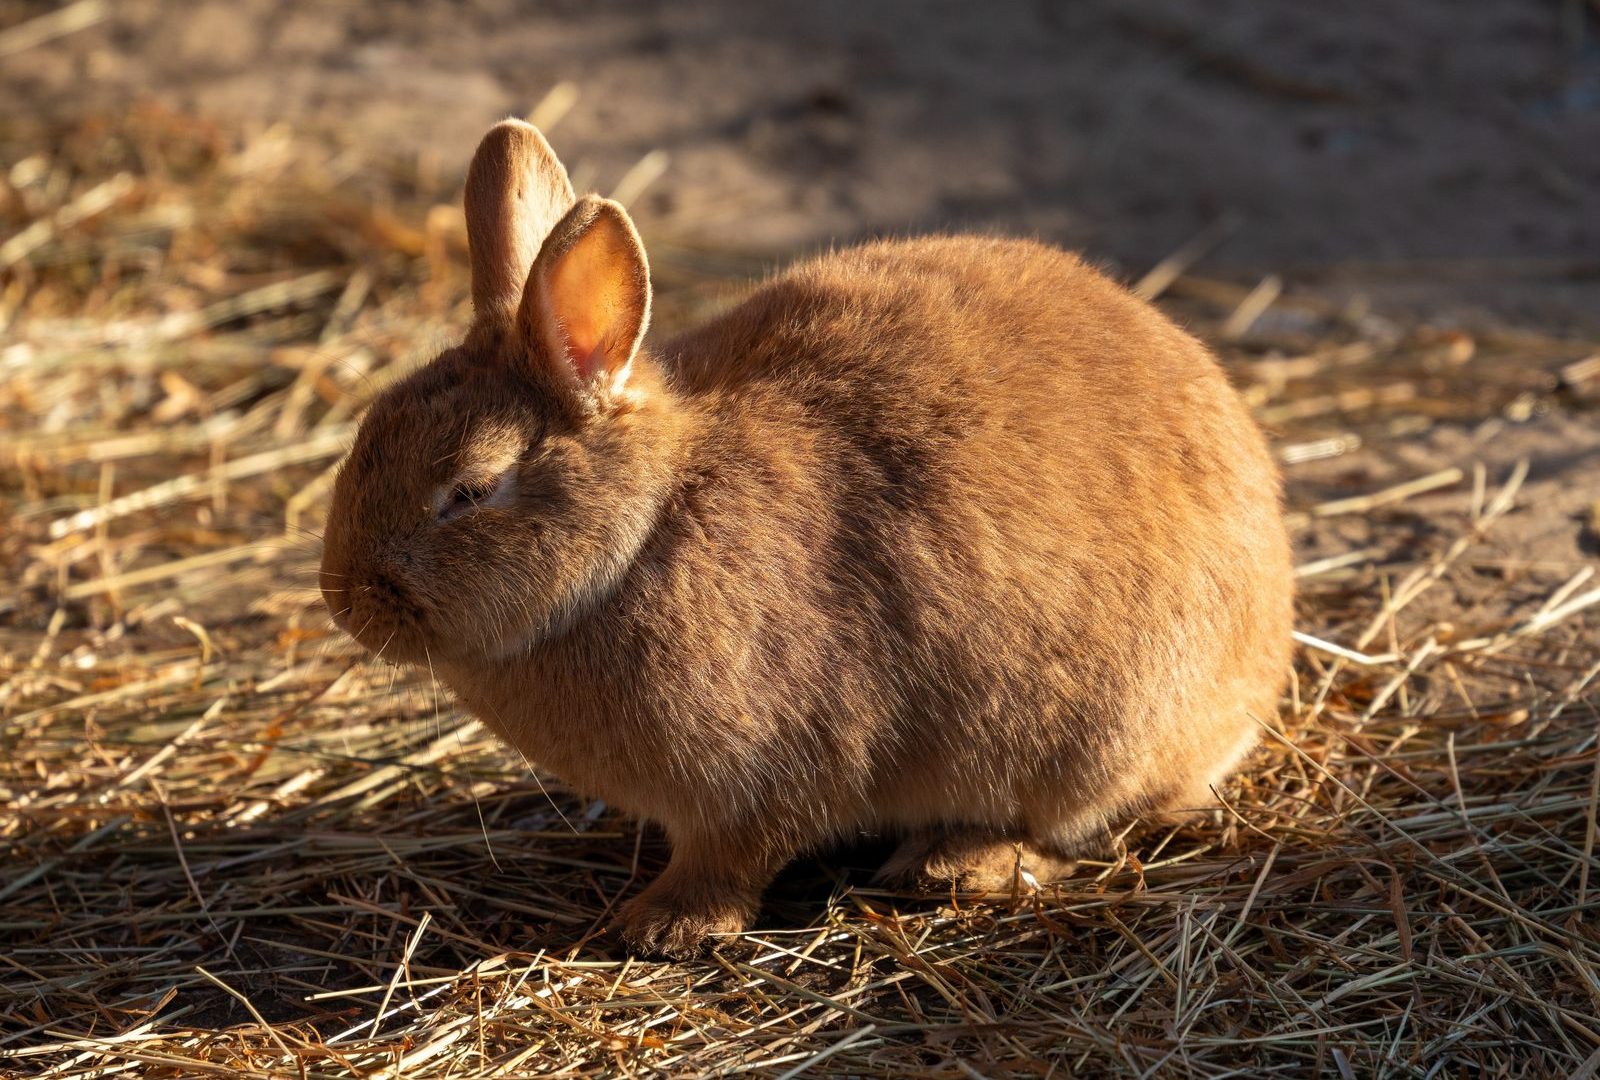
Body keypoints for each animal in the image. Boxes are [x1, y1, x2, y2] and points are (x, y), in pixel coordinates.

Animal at [320, 119, 1295, 958]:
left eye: (469, 490)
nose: (343, 602)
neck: (645, 533)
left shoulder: (763, 778)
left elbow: (735, 857)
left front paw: (663, 926)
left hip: (1101, 739)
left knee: (1089, 829)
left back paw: (954, 865)